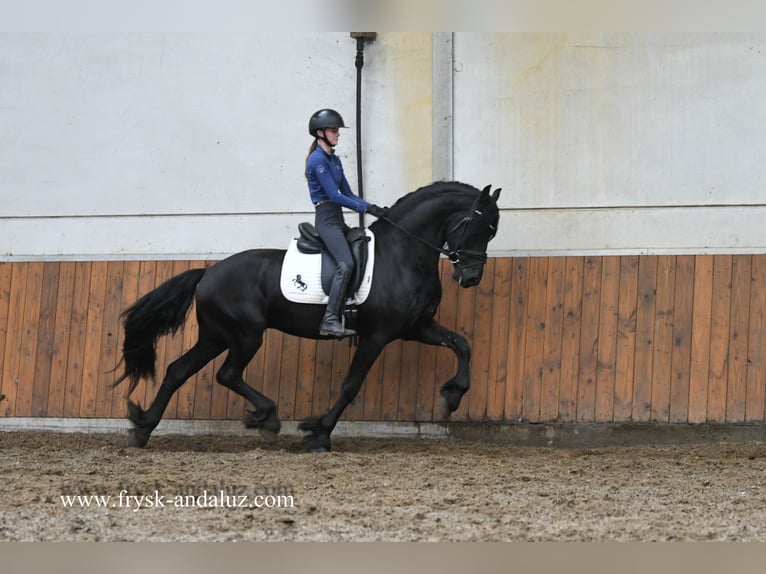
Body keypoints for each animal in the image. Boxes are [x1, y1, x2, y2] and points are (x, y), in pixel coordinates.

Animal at [112, 182, 498, 452]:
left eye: (491, 232)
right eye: (479, 227)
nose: (470, 278)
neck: (402, 255)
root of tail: (208, 272)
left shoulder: (416, 326)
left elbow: (462, 345)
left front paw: (452, 396)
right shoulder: (376, 336)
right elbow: (351, 386)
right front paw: (319, 433)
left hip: (215, 335)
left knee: (177, 370)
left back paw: (143, 428)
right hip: (245, 335)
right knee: (226, 374)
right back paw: (267, 418)